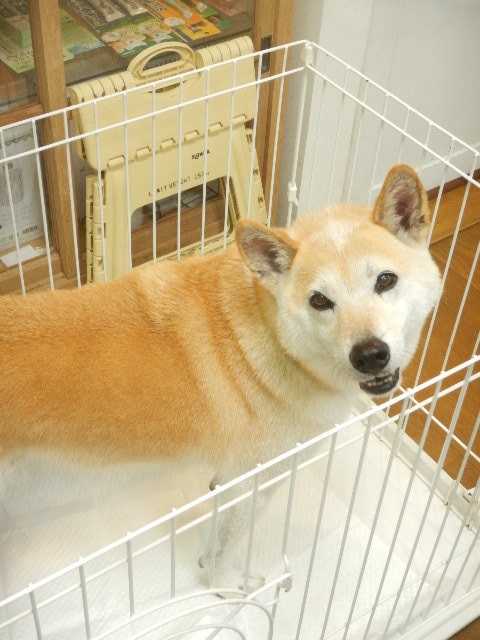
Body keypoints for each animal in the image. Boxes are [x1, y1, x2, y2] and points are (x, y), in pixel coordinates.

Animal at [0, 164, 442, 589]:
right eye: (320, 301)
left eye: (385, 280)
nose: (369, 355)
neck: (270, 336)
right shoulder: (249, 484)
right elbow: (219, 554)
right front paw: (229, 586)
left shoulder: (229, 480)